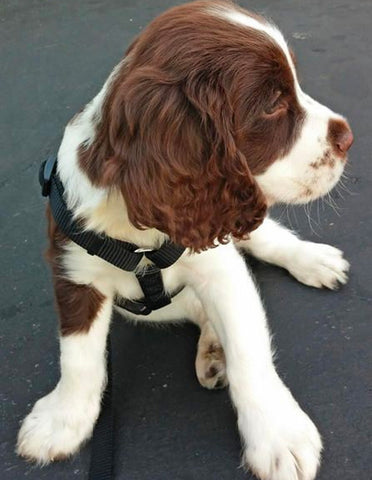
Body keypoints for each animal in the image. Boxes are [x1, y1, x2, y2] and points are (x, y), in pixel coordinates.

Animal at [17, 1, 354, 478]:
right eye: (273, 104)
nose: (348, 137)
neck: (140, 232)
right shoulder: (74, 271)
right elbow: (78, 357)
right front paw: (61, 423)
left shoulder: (219, 260)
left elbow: (250, 349)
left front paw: (277, 435)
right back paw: (212, 349)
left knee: (264, 239)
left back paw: (312, 261)